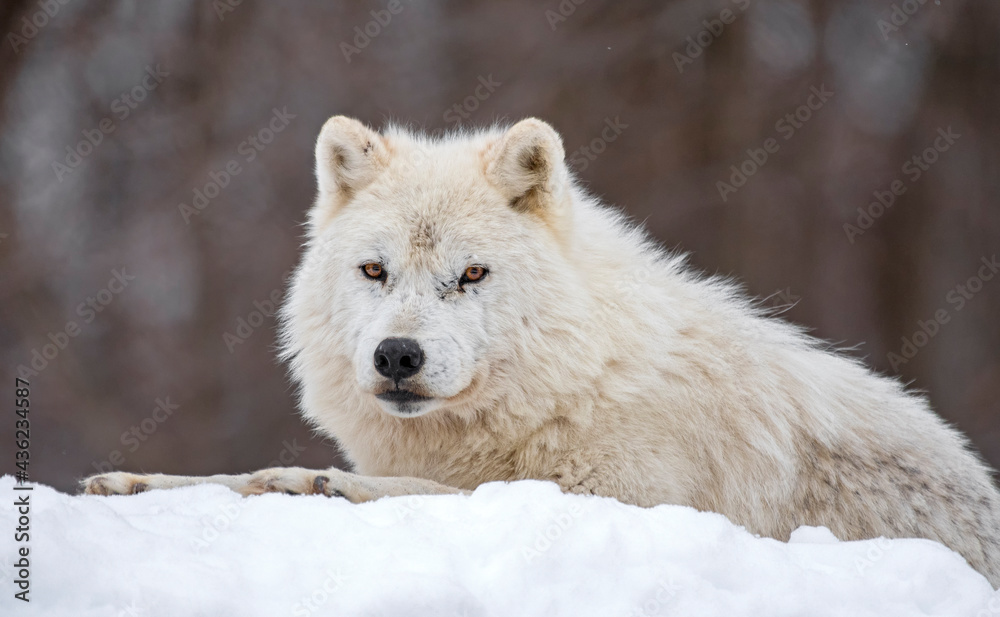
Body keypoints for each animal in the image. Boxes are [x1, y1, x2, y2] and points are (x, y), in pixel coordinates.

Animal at [84, 116, 1000, 586]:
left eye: (471, 273)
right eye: (375, 270)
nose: (397, 356)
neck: (575, 382)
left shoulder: (620, 498)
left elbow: (430, 492)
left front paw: (315, 484)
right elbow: (220, 477)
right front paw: (131, 482)